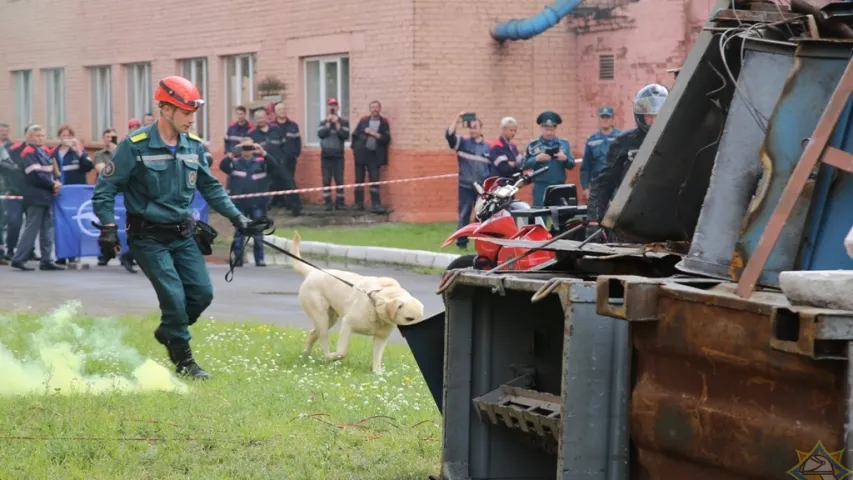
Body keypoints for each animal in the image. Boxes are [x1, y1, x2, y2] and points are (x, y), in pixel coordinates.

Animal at [290, 232, 426, 372]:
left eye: (421, 318)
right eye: (409, 318)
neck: (376, 302)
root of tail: (313, 271)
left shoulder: (381, 338)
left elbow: (377, 358)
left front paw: (377, 372)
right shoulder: (347, 324)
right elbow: (342, 352)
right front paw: (334, 357)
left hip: (330, 318)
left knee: (312, 333)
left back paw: (305, 356)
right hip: (321, 317)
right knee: (323, 341)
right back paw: (327, 357)